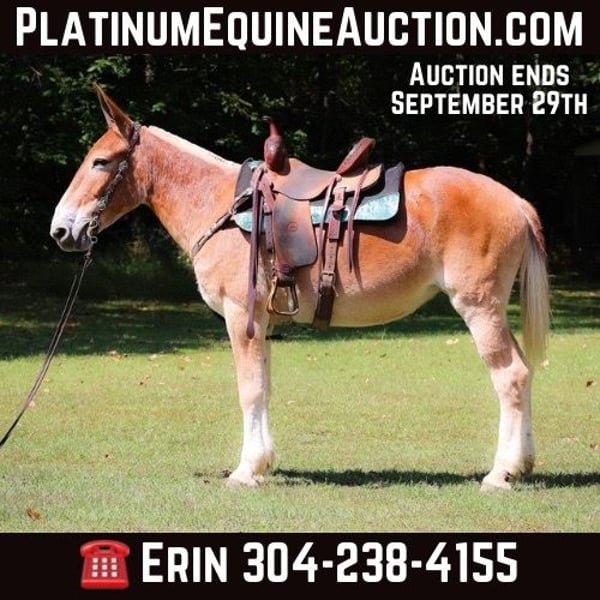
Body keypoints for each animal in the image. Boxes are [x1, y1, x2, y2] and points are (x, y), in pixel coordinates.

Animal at [50, 86, 550, 492]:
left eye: (100, 161)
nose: (61, 230)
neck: (222, 205)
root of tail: (515, 201)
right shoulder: (262, 321)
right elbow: (264, 387)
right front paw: (262, 463)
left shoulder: (242, 316)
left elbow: (250, 389)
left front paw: (247, 470)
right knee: (523, 372)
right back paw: (521, 466)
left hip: (479, 307)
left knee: (510, 376)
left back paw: (501, 474)